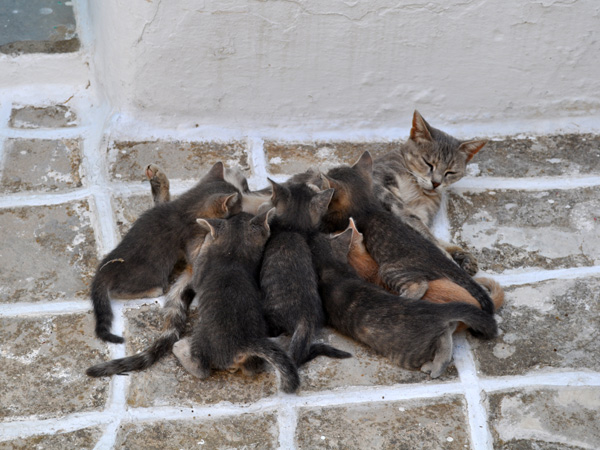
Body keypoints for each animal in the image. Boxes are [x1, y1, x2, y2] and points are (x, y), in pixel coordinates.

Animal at [90, 163, 240, 342]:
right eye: (239, 206)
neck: (186, 207)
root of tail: (104, 270)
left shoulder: (160, 206)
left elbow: (161, 198)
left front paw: (159, 179)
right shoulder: (191, 240)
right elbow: (198, 255)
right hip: (151, 275)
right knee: (118, 292)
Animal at [172, 211, 302, 394]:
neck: (233, 255)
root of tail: (243, 344)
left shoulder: (200, 274)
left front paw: (207, 239)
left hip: (202, 338)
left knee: (201, 369)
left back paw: (180, 348)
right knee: (250, 369)